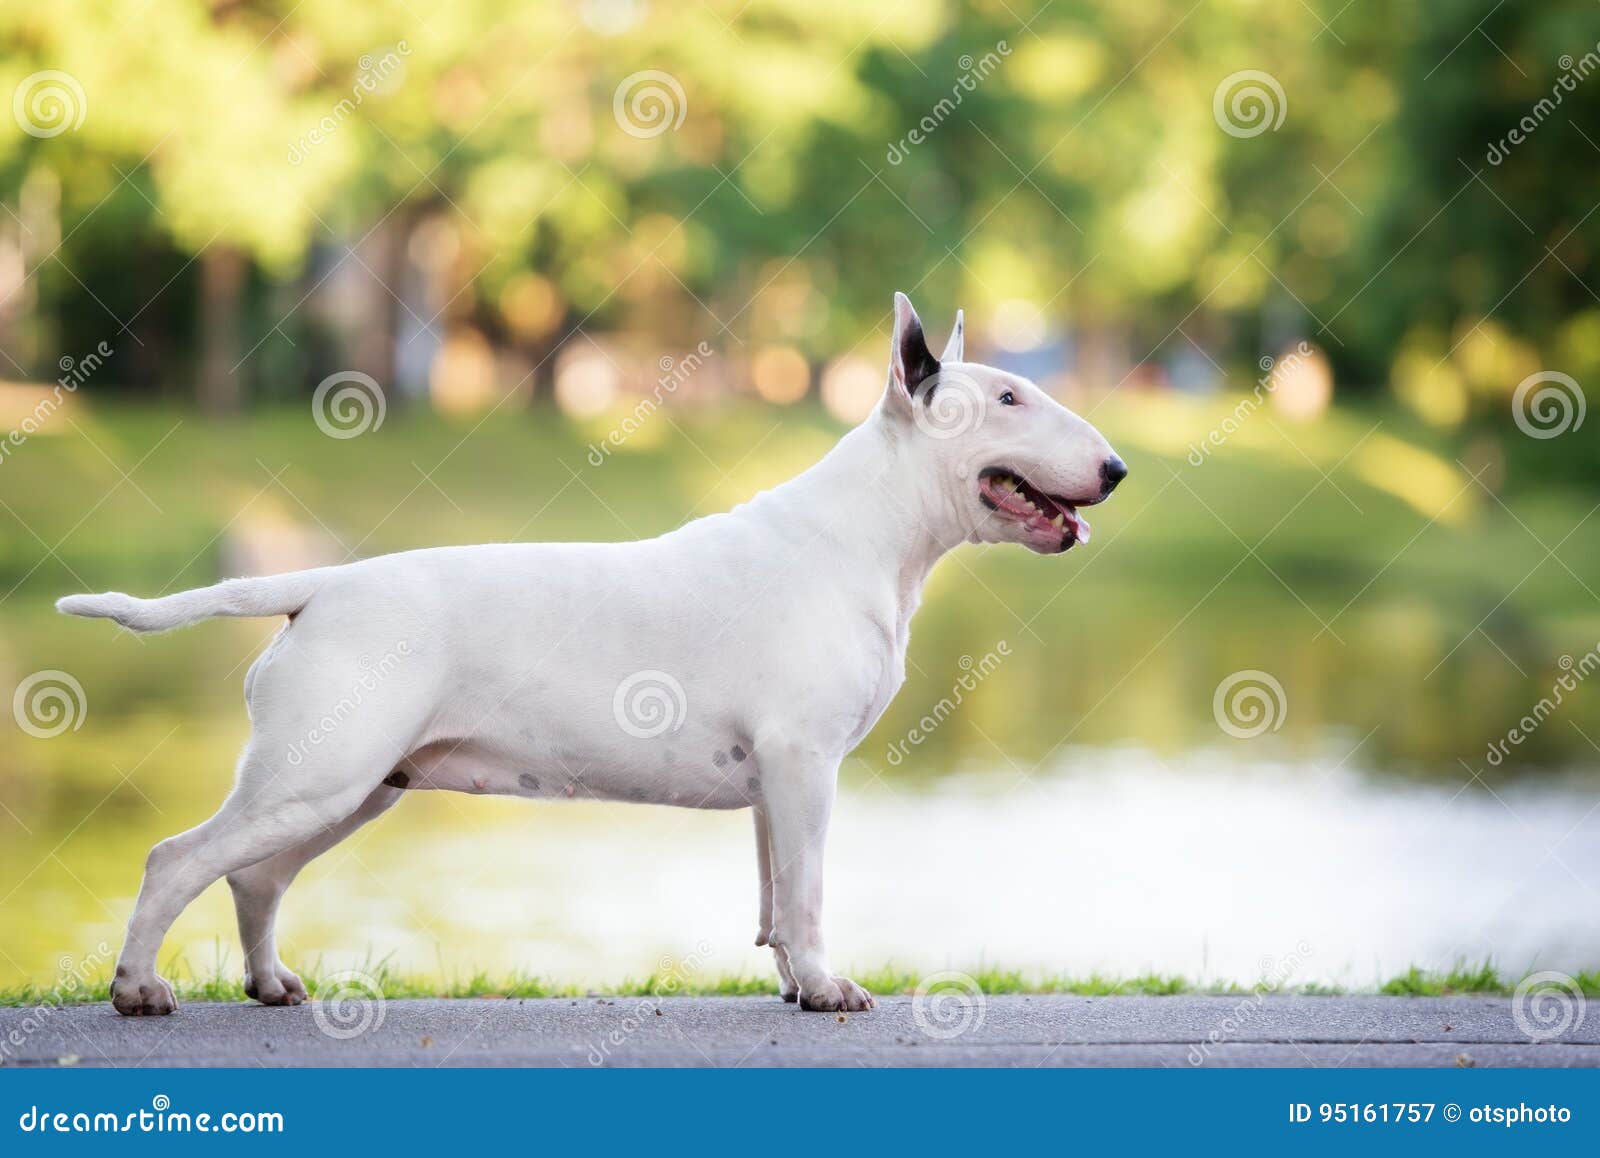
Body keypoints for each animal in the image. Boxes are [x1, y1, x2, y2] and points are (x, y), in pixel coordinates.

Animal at [53, 289, 1126, 1010]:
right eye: (1008, 399)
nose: (1117, 469)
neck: (867, 534)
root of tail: (313, 588)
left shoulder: (779, 779)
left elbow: (777, 893)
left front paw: (793, 983)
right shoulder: (804, 762)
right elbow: (810, 890)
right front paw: (829, 988)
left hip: (353, 784)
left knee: (255, 875)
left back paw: (271, 982)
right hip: (319, 776)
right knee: (178, 860)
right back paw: (138, 988)